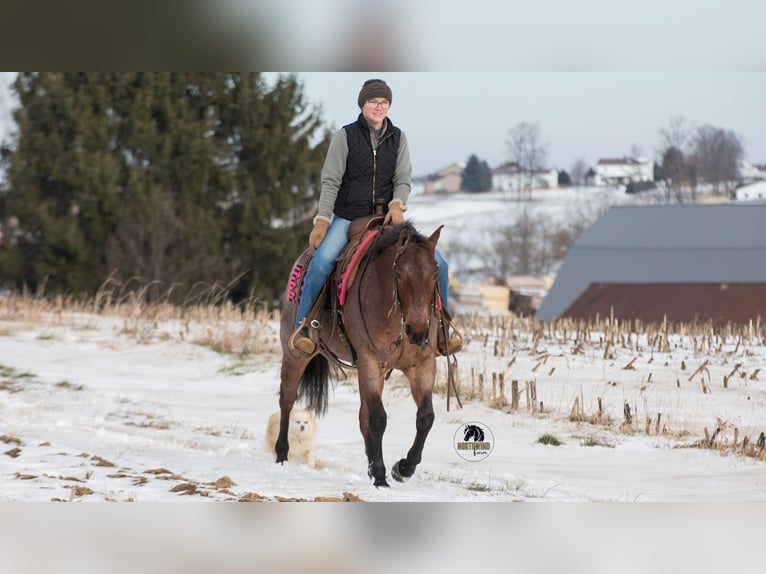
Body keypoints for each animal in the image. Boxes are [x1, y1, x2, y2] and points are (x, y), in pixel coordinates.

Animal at [275, 220, 443, 487]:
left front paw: (402, 468)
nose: (417, 331)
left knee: (363, 417)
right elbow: (378, 419)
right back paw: (281, 454)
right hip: (295, 355)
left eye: (435, 273)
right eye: (399, 274)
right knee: (287, 399)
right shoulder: (370, 362)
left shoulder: (422, 364)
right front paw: (381, 476)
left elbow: (425, 417)